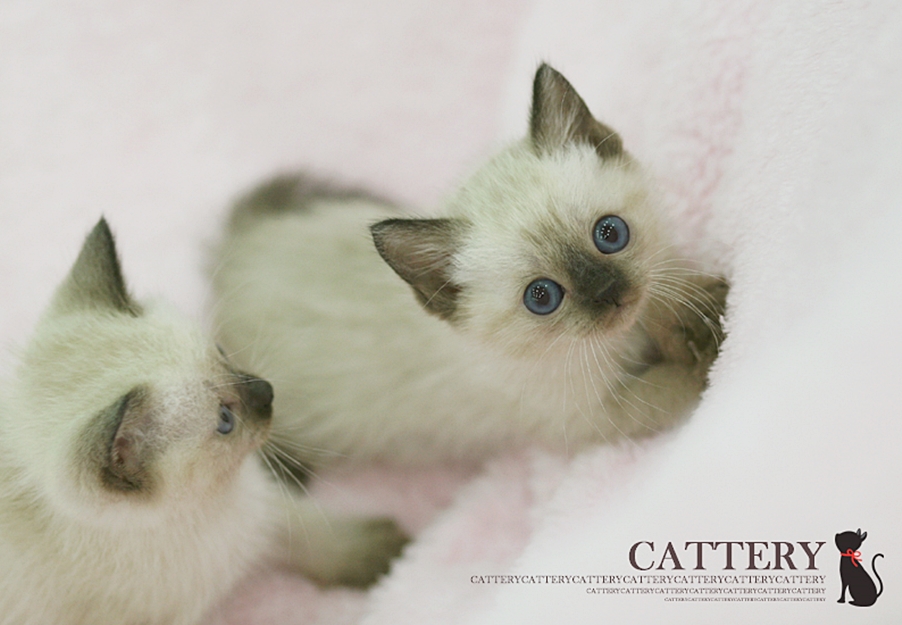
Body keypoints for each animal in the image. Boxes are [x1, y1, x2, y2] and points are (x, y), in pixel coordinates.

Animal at [0, 219, 406, 625]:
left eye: (223, 353)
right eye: (225, 420)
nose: (268, 391)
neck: (208, 511)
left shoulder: (262, 512)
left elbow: (319, 536)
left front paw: (389, 555)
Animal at [211, 63, 728, 467]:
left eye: (610, 234)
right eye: (542, 297)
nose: (611, 295)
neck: (625, 337)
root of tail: (232, 251)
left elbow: (670, 283)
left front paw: (698, 304)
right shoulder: (596, 416)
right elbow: (674, 388)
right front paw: (710, 359)